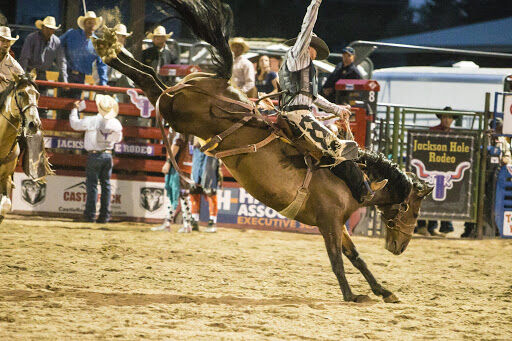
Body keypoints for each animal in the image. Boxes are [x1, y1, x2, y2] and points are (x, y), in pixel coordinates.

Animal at [93, 0, 432, 302]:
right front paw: (351, 295)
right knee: (151, 82)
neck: (351, 179)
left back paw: (109, 47)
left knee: (151, 77)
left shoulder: (338, 224)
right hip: (178, 112)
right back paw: (108, 47)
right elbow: (337, 259)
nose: (400, 247)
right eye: (414, 211)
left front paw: (383, 291)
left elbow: (356, 257)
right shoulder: (329, 222)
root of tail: (220, 81)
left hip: (177, 105)